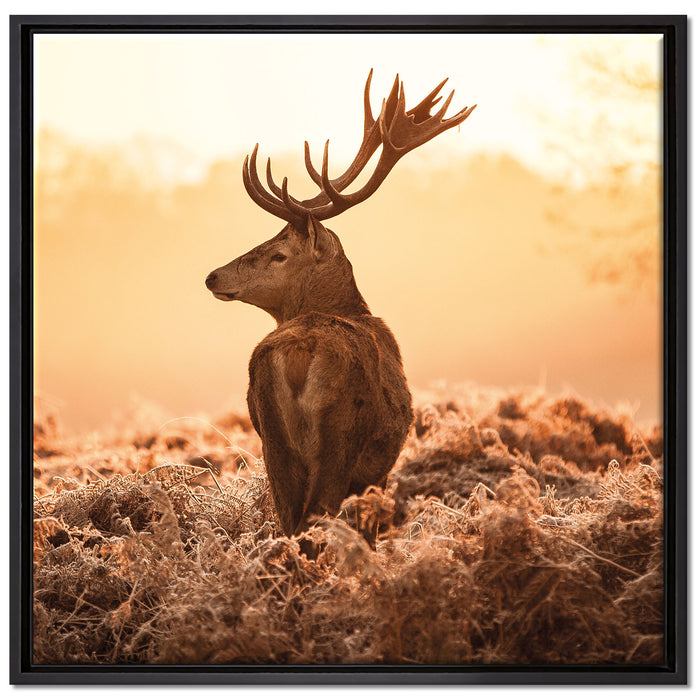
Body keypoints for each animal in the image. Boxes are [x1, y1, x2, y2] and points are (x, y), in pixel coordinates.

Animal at [205, 70, 475, 540]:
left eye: (278, 254)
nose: (213, 276)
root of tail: (298, 353)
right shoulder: (377, 470)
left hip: (272, 439)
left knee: (288, 519)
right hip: (341, 436)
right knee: (315, 518)